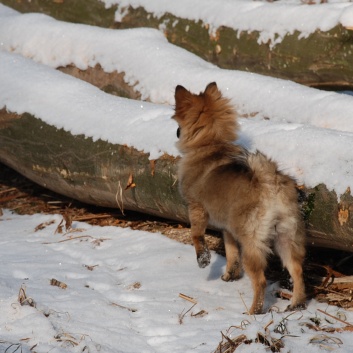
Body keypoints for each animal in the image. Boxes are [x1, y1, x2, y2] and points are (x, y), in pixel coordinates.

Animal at [172, 81, 304, 312]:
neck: (211, 145)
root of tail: (269, 182)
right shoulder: (228, 229)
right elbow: (231, 253)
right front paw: (230, 275)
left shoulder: (196, 208)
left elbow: (196, 235)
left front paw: (203, 259)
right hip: (285, 237)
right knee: (297, 270)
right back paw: (296, 303)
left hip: (252, 241)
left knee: (260, 280)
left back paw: (254, 311)